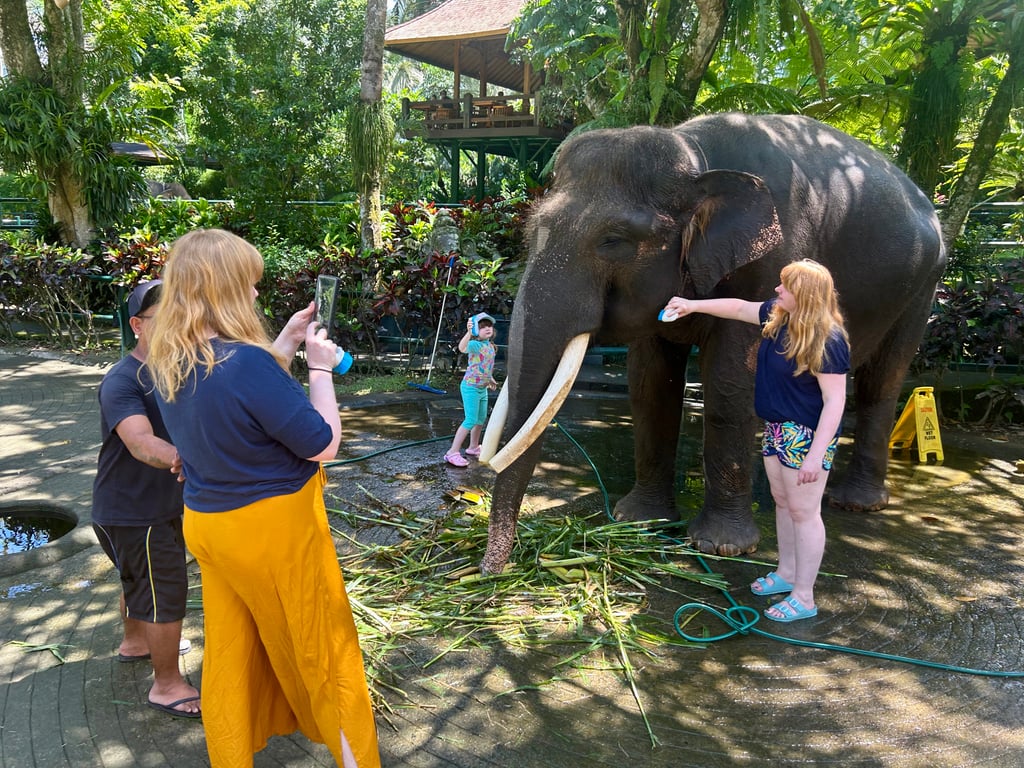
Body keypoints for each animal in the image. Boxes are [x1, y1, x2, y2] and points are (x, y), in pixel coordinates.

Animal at [477, 112, 947, 575]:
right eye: (531, 232)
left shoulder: (775, 258)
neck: (693, 155)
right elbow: (649, 383)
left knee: (882, 381)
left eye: (614, 241)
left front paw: (721, 546)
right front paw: (641, 521)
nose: (492, 572)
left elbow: (730, 379)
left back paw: (855, 503)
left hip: (924, 284)